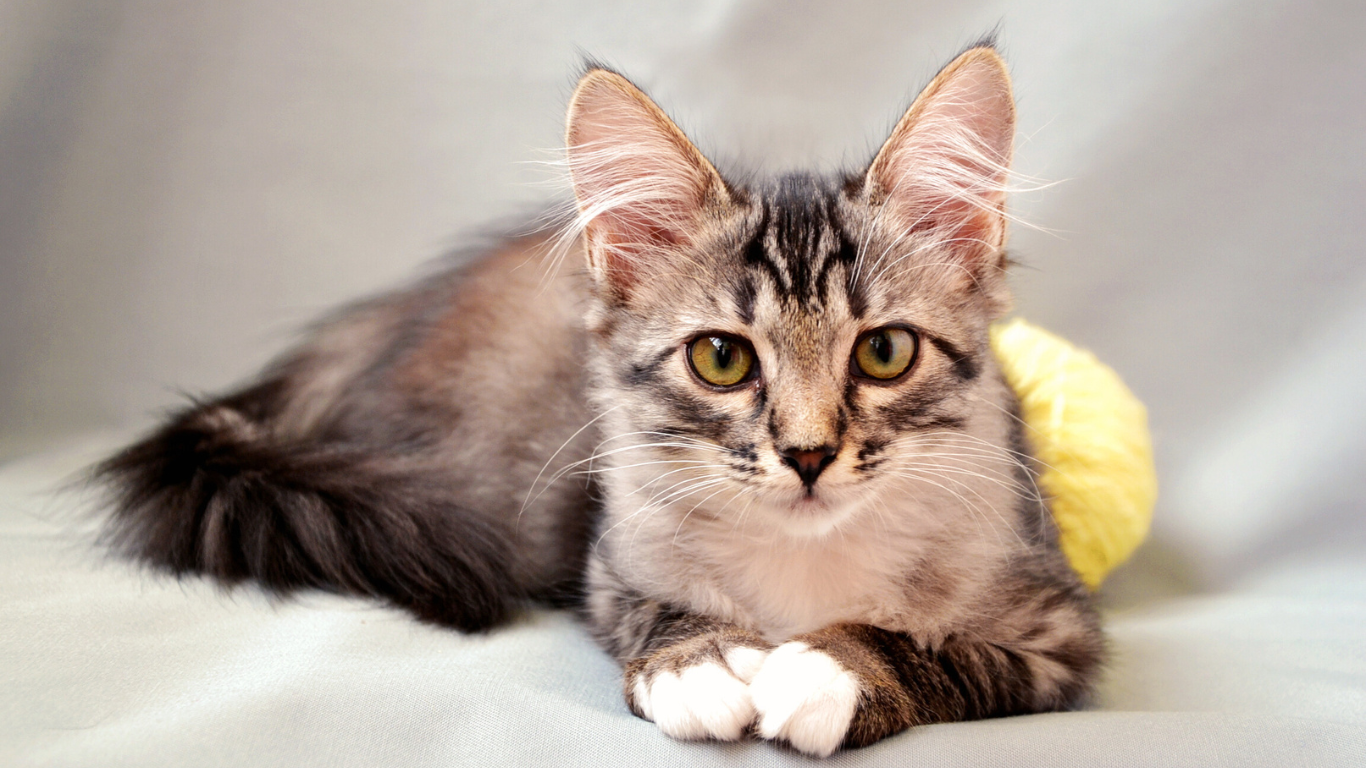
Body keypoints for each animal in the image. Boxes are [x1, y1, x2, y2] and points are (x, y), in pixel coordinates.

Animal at [93, 41, 1098, 754]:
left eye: (884, 352)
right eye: (723, 361)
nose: (809, 454)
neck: (804, 562)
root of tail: (371, 329)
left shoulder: (1060, 632)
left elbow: (929, 648)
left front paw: (828, 667)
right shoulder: (609, 560)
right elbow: (651, 609)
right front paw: (701, 661)